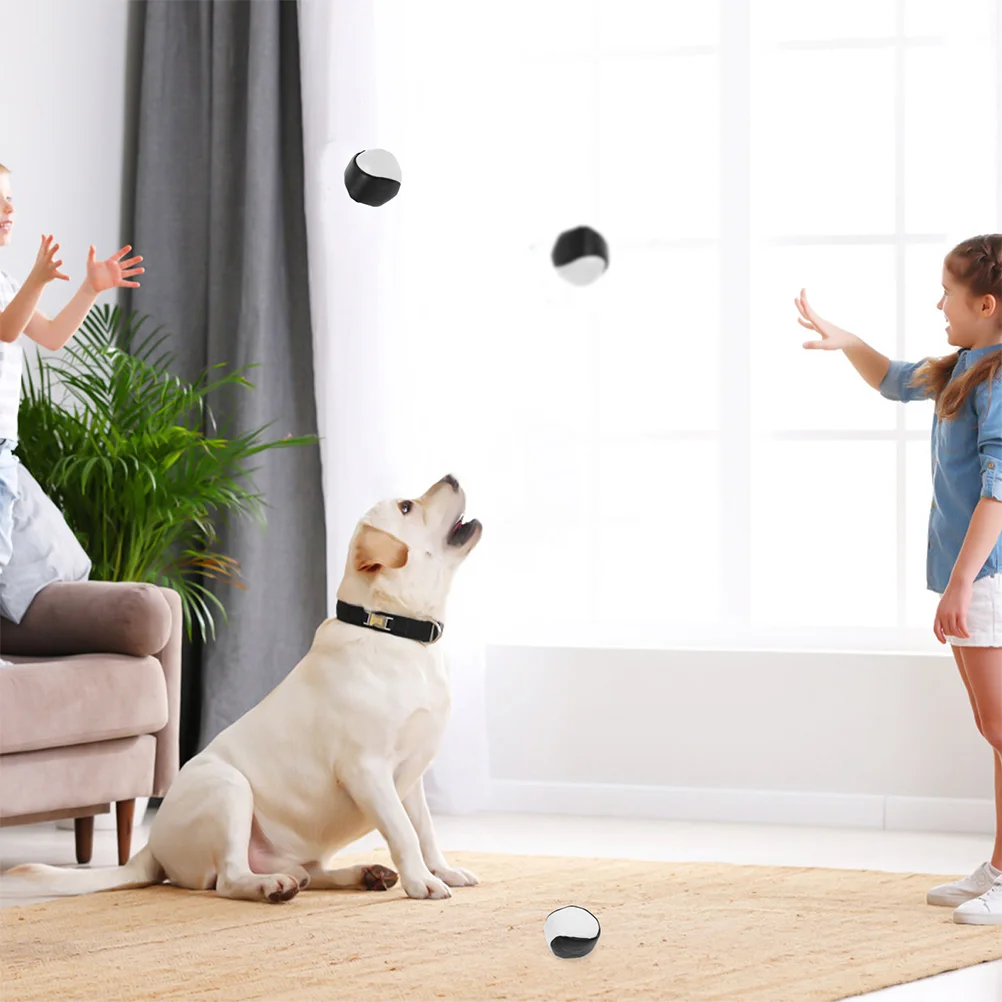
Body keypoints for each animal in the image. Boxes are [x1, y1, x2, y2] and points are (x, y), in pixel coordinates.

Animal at [4, 472, 480, 905]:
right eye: (407, 507)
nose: (453, 476)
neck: (394, 632)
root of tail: (151, 846)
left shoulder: (410, 777)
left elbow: (425, 829)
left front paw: (443, 871)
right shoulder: (367, 770)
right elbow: (402, 831)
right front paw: (422, 883)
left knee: (308, 872)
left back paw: (362, 874)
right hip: (229, 789)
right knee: (229, 879)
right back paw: (273, 887)